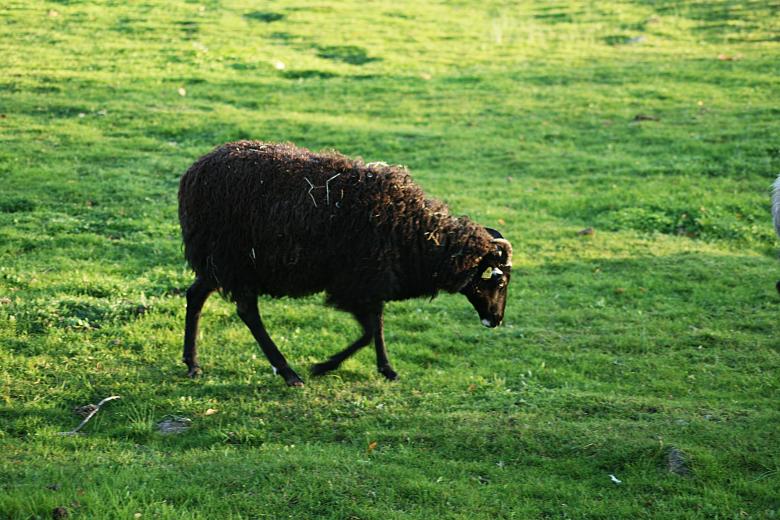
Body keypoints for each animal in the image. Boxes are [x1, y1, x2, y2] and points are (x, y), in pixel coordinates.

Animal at [178, 141, 513, 386]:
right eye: (499, 280)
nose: (496, 320)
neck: (416, 231)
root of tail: (193, 173)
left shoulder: (372, 283)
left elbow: (377, 326)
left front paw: (387, 370)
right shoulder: (354, 284)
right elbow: (368, 332)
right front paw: (323, 366)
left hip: (219, 260)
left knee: (196, 295)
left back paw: (193, 364)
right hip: (236, 260)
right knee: (248, 312)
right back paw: (288, 373)